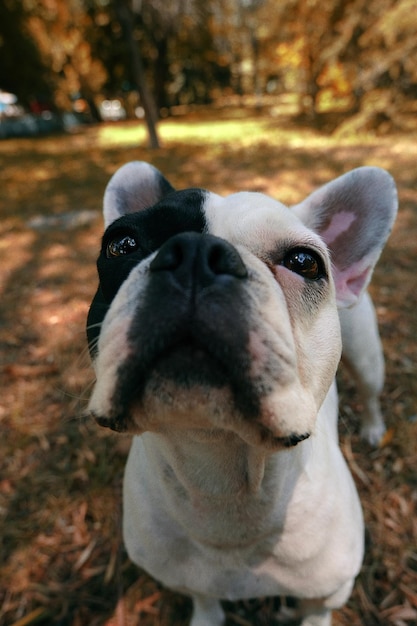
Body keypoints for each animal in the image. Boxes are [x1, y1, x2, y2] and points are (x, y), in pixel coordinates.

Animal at [86, 162, 394, 624]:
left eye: (305, 262)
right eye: (122, 244)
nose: (196, 252)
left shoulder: (331, 592)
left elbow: (316, 611)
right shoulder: (181, 575)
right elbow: (203, 598)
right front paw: (206, 617)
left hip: (366, 355)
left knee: (372, 392)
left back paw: (374, 429)